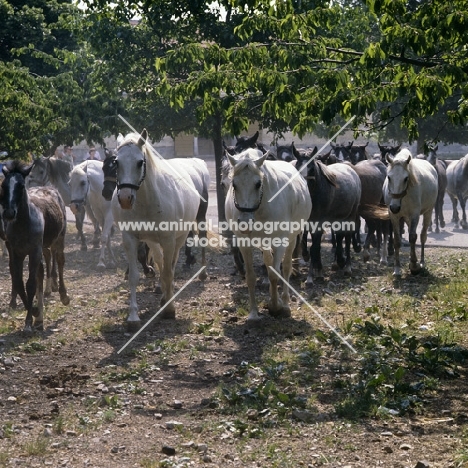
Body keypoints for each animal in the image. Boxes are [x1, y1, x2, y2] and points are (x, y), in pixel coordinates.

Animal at [114, 130, 203, 330]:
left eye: (140, 162)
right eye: (116, 162)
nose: (125, 199)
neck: (147, 201)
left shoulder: (169, 240)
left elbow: (169, 273)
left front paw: (170, 309)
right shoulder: (130, 238)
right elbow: (135, 276)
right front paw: (133, 317)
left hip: (179, 238)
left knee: (171, 264)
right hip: (152, 241)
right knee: (160, 261)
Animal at [226, 149, 310, 322]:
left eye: (258, 184)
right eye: (234, 184)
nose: (245, 222)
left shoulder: (280, 242)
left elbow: (275, 274)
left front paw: (276, 307)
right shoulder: (244, 243)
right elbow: (251, 277)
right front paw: (253, 313)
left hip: (291, 239)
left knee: (286, 267)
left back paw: (284, 303)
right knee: (268, 261)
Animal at [384, 148, 438, 276]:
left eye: (405, 178)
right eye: (389, 177)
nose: (394, 207)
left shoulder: (414, 215)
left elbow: (413, 237)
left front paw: (414, 265)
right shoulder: (394, 216)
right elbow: (397, 240)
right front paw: (397, 268)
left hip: (428, 211)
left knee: (422, 236)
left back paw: (421, 262)